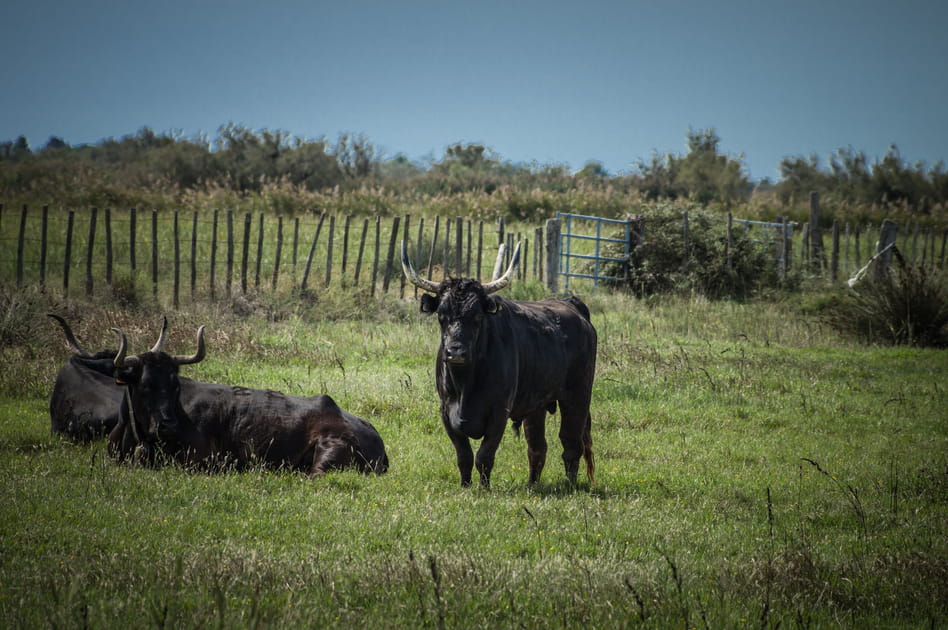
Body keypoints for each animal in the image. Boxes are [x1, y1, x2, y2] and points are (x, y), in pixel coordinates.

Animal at [402, 241, 596, 488]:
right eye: (441, 316)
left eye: (477, 317)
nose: (455, 352)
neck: (466, 386)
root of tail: (571, 304)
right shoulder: (446, 411)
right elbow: (464, 456)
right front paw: (465, 486)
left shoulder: (499, 412)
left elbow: (484, 456)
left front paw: (484, 489)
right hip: (536, 404)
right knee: (537, 447)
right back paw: (531, 486)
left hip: (578, 396)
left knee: (571, 444)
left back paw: (570, 486)